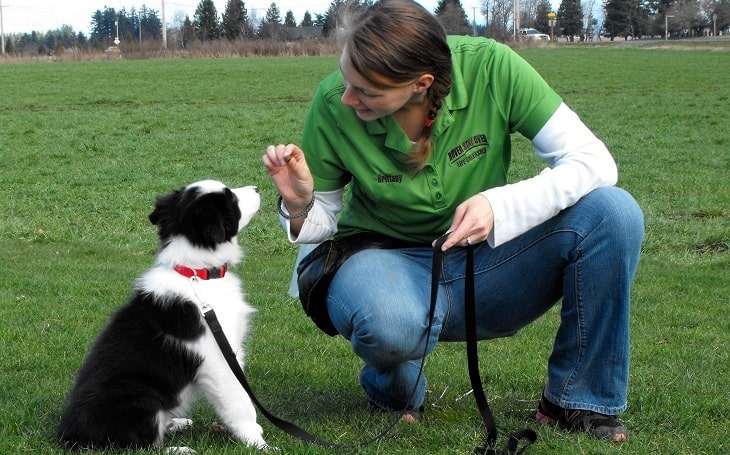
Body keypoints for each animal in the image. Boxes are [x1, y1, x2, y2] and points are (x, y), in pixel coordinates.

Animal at [57, 181, 268, 452]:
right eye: (231, 199)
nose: (257, 187)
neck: (198, 273)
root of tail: (68, 435)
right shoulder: (219, 358)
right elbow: (240, 401)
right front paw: (258, 442)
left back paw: (176, 424)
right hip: (140, 395)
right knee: (137, 445)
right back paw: (180, 449)